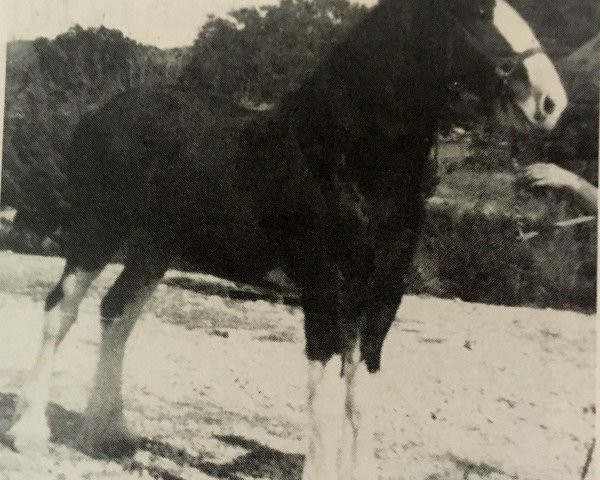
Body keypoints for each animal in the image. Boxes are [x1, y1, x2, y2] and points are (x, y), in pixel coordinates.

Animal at [9, 1, 564, 478]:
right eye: (478, 12)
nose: (551, 102)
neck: (347, 158)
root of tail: (101, 114)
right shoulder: (324, 291)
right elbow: (325, 400)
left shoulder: (382, 297)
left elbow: (361, 397)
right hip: (97, 231)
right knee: (61, 311)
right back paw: (30, 432)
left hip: (154, 248)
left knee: (117, 313)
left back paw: (109, 431)